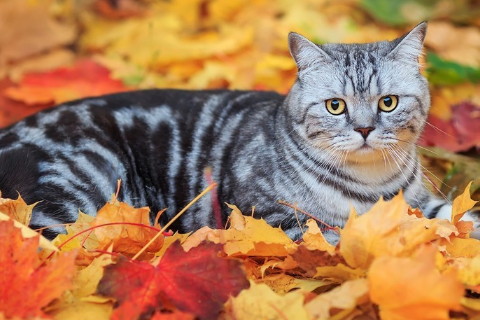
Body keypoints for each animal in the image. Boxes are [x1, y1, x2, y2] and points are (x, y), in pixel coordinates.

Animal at [0, 21, 468, 242]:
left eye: (388, 103)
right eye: (336, 106)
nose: (366, 128)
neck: (373, 187)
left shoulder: (424, 204)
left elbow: (457, 218)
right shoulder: (270, 216)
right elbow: (335, 239)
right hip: (83, 188)